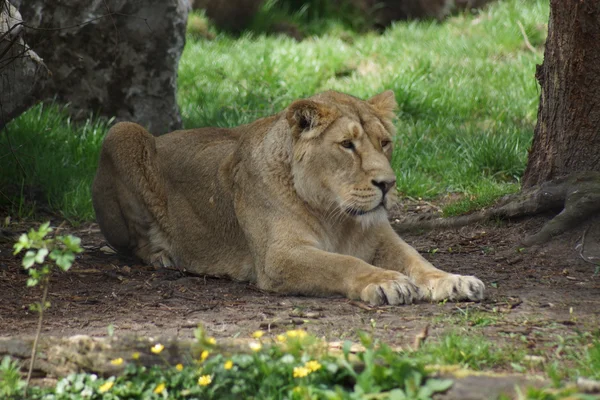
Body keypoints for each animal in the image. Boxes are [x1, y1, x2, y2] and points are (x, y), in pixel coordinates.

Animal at [94, 90, 486, 304]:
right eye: (347, 144)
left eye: (385, 142)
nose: (387, 184)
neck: (338, 216)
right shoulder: (278, 256)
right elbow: (344, 263)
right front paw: (385, 281)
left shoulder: (381, 238)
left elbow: (418, 261)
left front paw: (453, 280)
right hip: (121, 132)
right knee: (130, 244)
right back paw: (162, 255)